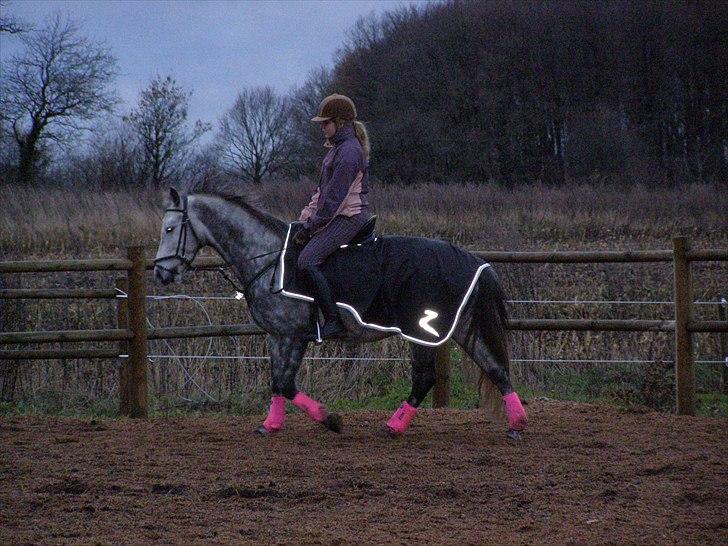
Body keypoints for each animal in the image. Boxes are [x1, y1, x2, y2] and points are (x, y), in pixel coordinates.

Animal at [152, 186, 528, 439]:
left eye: (169, 229)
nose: (161, 273)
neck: (270, 260)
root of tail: (472, 259)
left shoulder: (292, 335)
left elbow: (286, 383)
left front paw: (330, 419)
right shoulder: (281, 335)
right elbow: (278, 382)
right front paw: (270, 424)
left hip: (423, 330)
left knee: (426, 378)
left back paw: (394, 427)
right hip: (460, 327)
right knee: (495, 368)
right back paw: (516, 424)